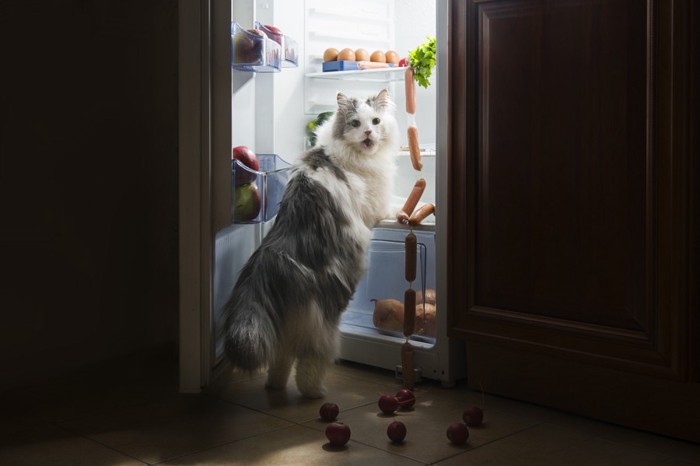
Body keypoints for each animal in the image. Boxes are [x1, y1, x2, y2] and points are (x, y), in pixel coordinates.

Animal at [224, 89, 400, 398]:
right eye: (356, 123)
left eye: (376, 121)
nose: (368, 132)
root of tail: (274, 257)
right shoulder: (377, 206)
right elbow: (397, 203)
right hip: (323, 320)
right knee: (309, 361)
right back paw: (315, 393)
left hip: (288, 324)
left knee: (280, 358)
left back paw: (275, 386)